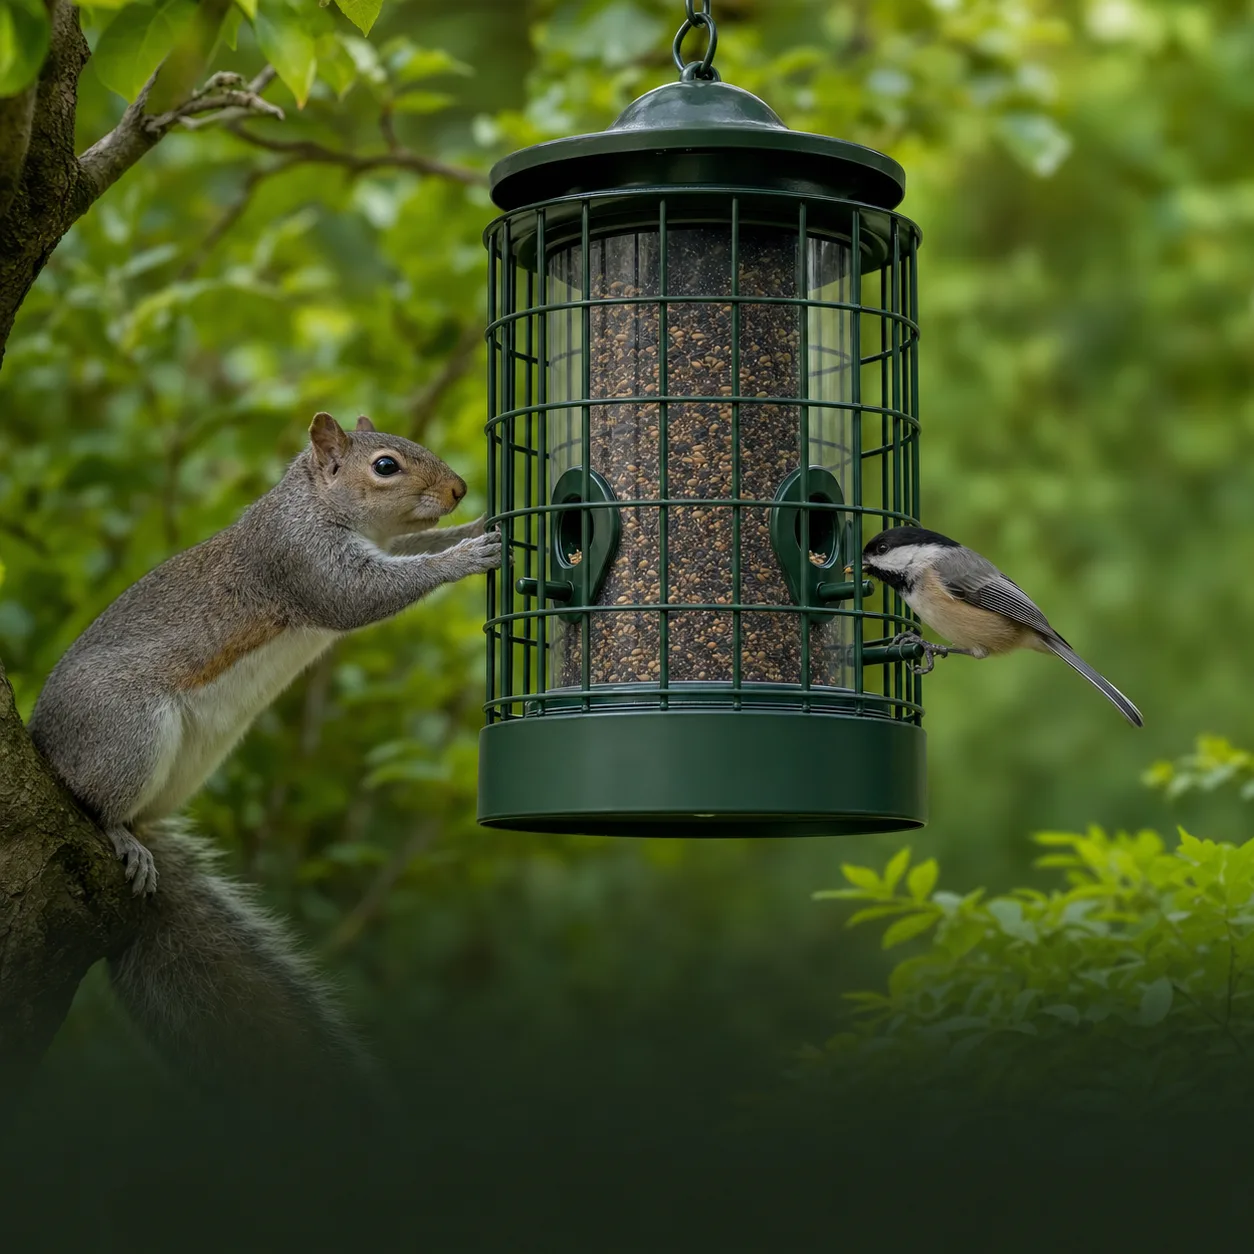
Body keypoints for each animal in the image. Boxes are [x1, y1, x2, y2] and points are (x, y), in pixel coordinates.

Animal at [25, 411, 500, 1105]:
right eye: (385, 466)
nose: (461, 489)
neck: (313, 503)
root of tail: (45, 745)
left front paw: (485, 526)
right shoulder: (301, 562)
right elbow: (364, 597)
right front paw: (466, 556)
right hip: (124, 731)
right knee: (99, 804)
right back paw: (121, 837)